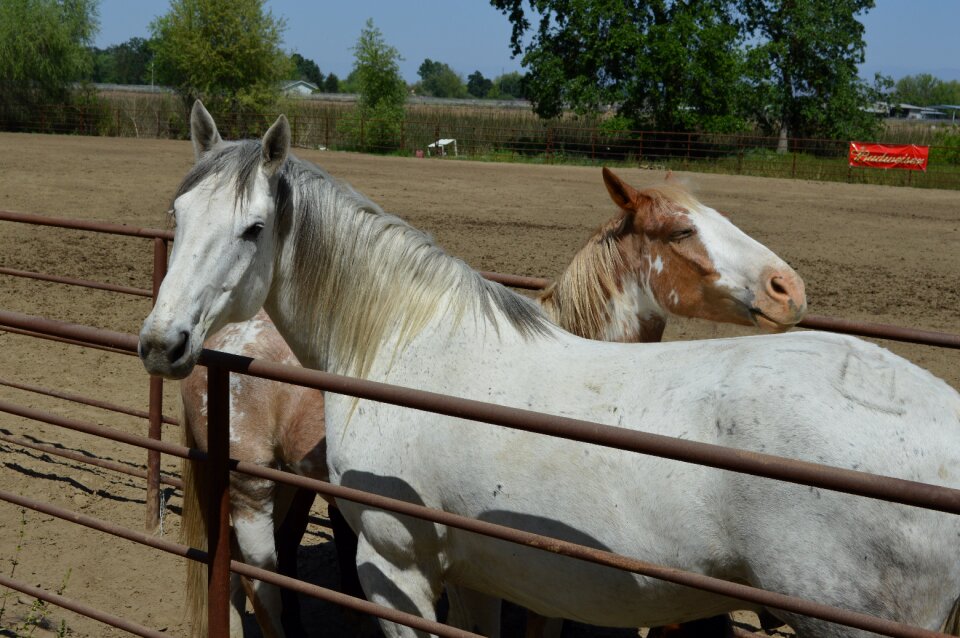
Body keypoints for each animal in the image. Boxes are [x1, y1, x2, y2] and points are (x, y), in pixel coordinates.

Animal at [141, 102, 960, 636]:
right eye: (176, 217)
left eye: (253, 229)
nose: (161, 341)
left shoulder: (396, 570)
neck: (405, 344)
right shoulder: (479, 574)